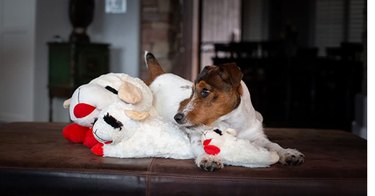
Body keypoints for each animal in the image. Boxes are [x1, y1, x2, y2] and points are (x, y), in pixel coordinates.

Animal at [145, 52, 306, 172]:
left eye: (205, 91)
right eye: (191, 92)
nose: (177, 117)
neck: (231, 121)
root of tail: (159, 75)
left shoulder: (257, 137)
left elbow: (273, 145)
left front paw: (288, 153)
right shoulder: (197, 133)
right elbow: (201, 145)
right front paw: (208, 158)